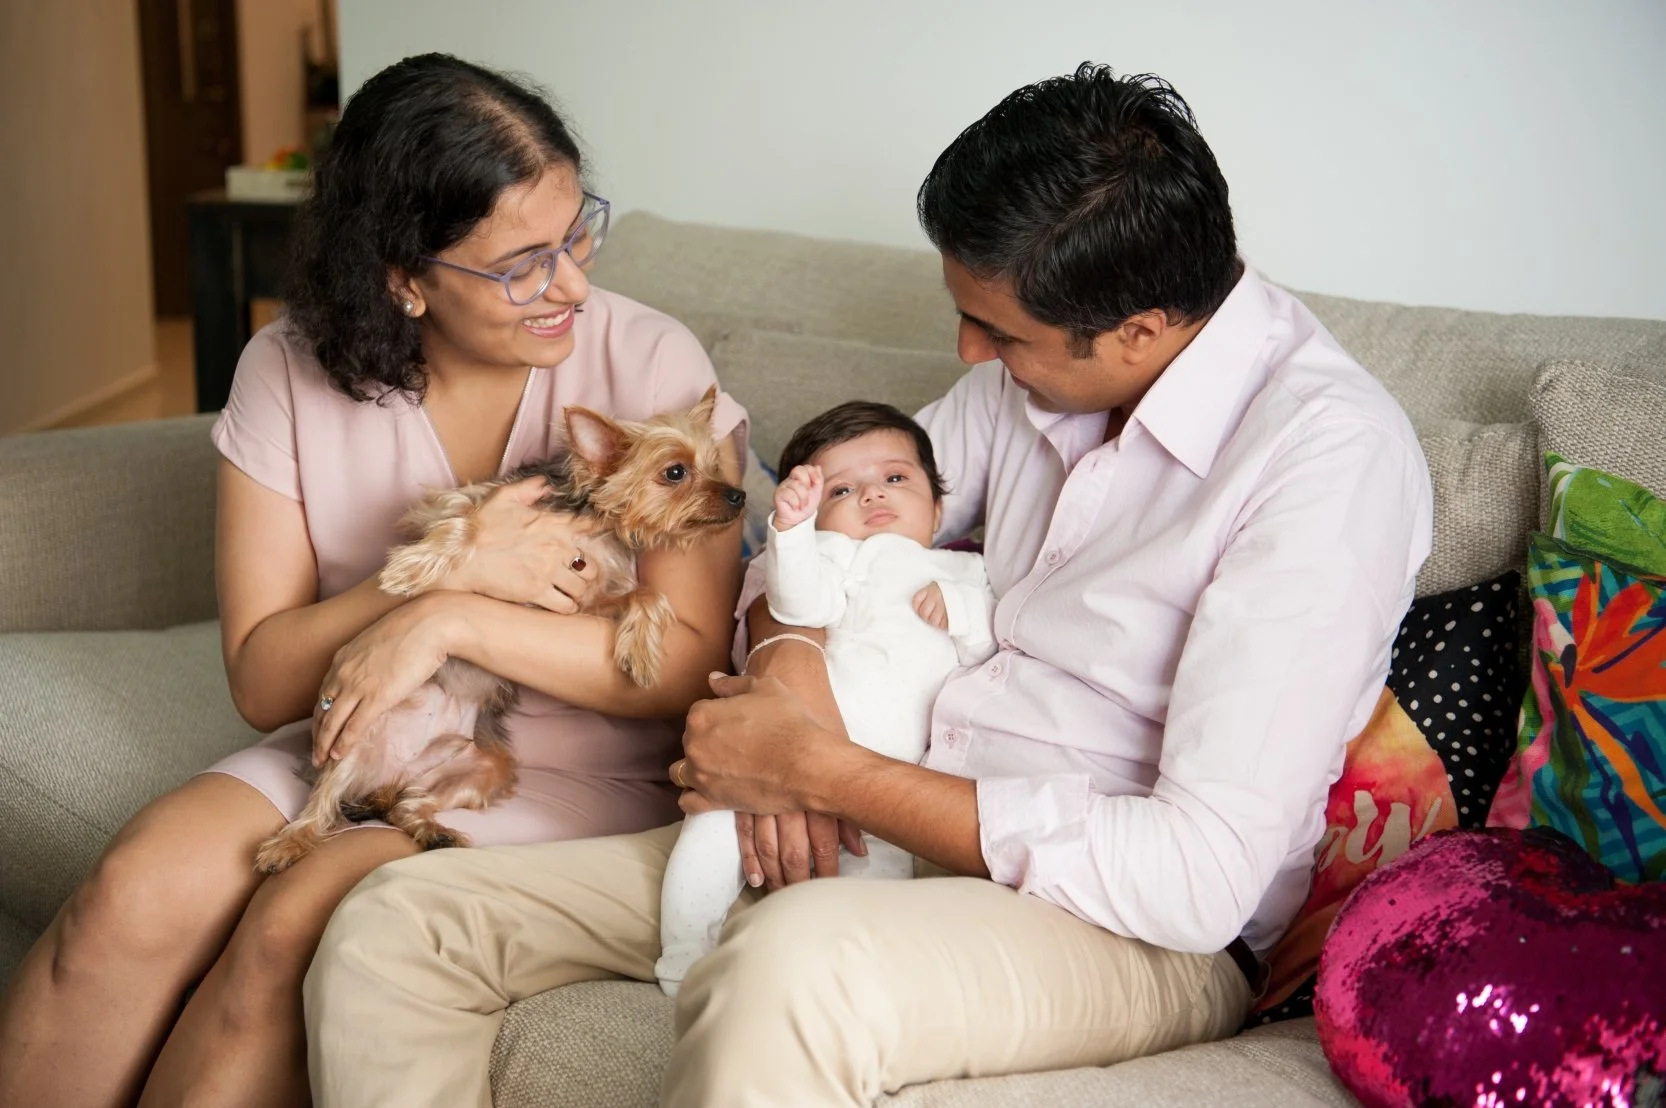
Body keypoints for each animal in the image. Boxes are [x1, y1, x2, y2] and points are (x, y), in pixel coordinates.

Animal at [252, 387, 744, 874]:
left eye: (716, 465)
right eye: (675, 472)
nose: (739, 495)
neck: (596, 520)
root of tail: (390, 778)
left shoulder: (581, 601)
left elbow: (645, 596)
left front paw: (640, 655)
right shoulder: (453, 504)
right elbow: (466, 526)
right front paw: (409, 570)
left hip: (482, 768)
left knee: (408, 806)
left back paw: (434, 832)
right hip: (348, 739)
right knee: (322, 803)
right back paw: (287, 844)